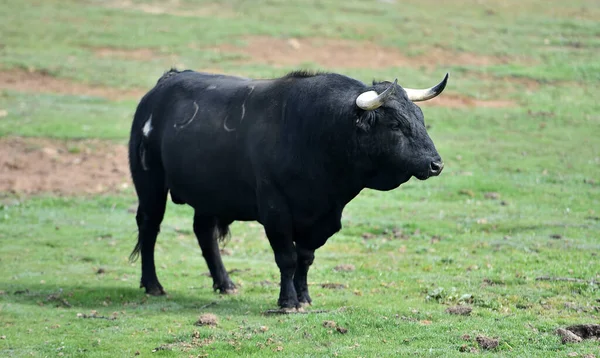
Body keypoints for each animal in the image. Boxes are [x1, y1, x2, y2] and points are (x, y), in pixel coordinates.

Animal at [129, 68, 448, 310]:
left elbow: (305, 258)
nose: (436, 164)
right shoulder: (276, 212)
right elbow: (287, 258)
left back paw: (225, 283)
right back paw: (153, 285)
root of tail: (166, 82)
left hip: (208, 195)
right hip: (150, 184)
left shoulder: (323, 218)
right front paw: (288, 301)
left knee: (204, 233)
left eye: (420, 117)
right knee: (150, 228)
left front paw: (304, 297)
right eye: (395, 124)